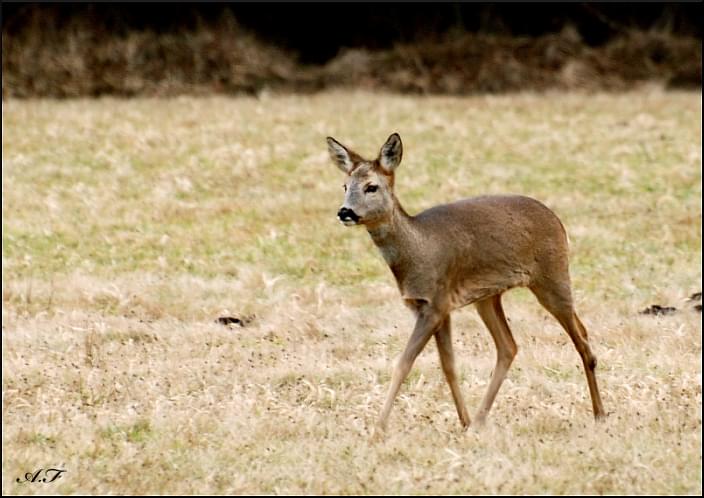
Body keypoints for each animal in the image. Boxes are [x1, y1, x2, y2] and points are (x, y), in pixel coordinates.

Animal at [324, 134, 604, 434]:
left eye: (371, 186)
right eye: (345, 186)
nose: (345, 211)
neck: (417, 250)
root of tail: (558, 221)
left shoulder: (435, 303)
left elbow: (403, 363)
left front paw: (378, 428)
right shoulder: (439, 307)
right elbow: (448, 365)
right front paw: (464, 421)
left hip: (552, 276)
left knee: (581, 339)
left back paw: (600, 414)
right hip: (489, 296)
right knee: (509, 345)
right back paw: (480, 420)